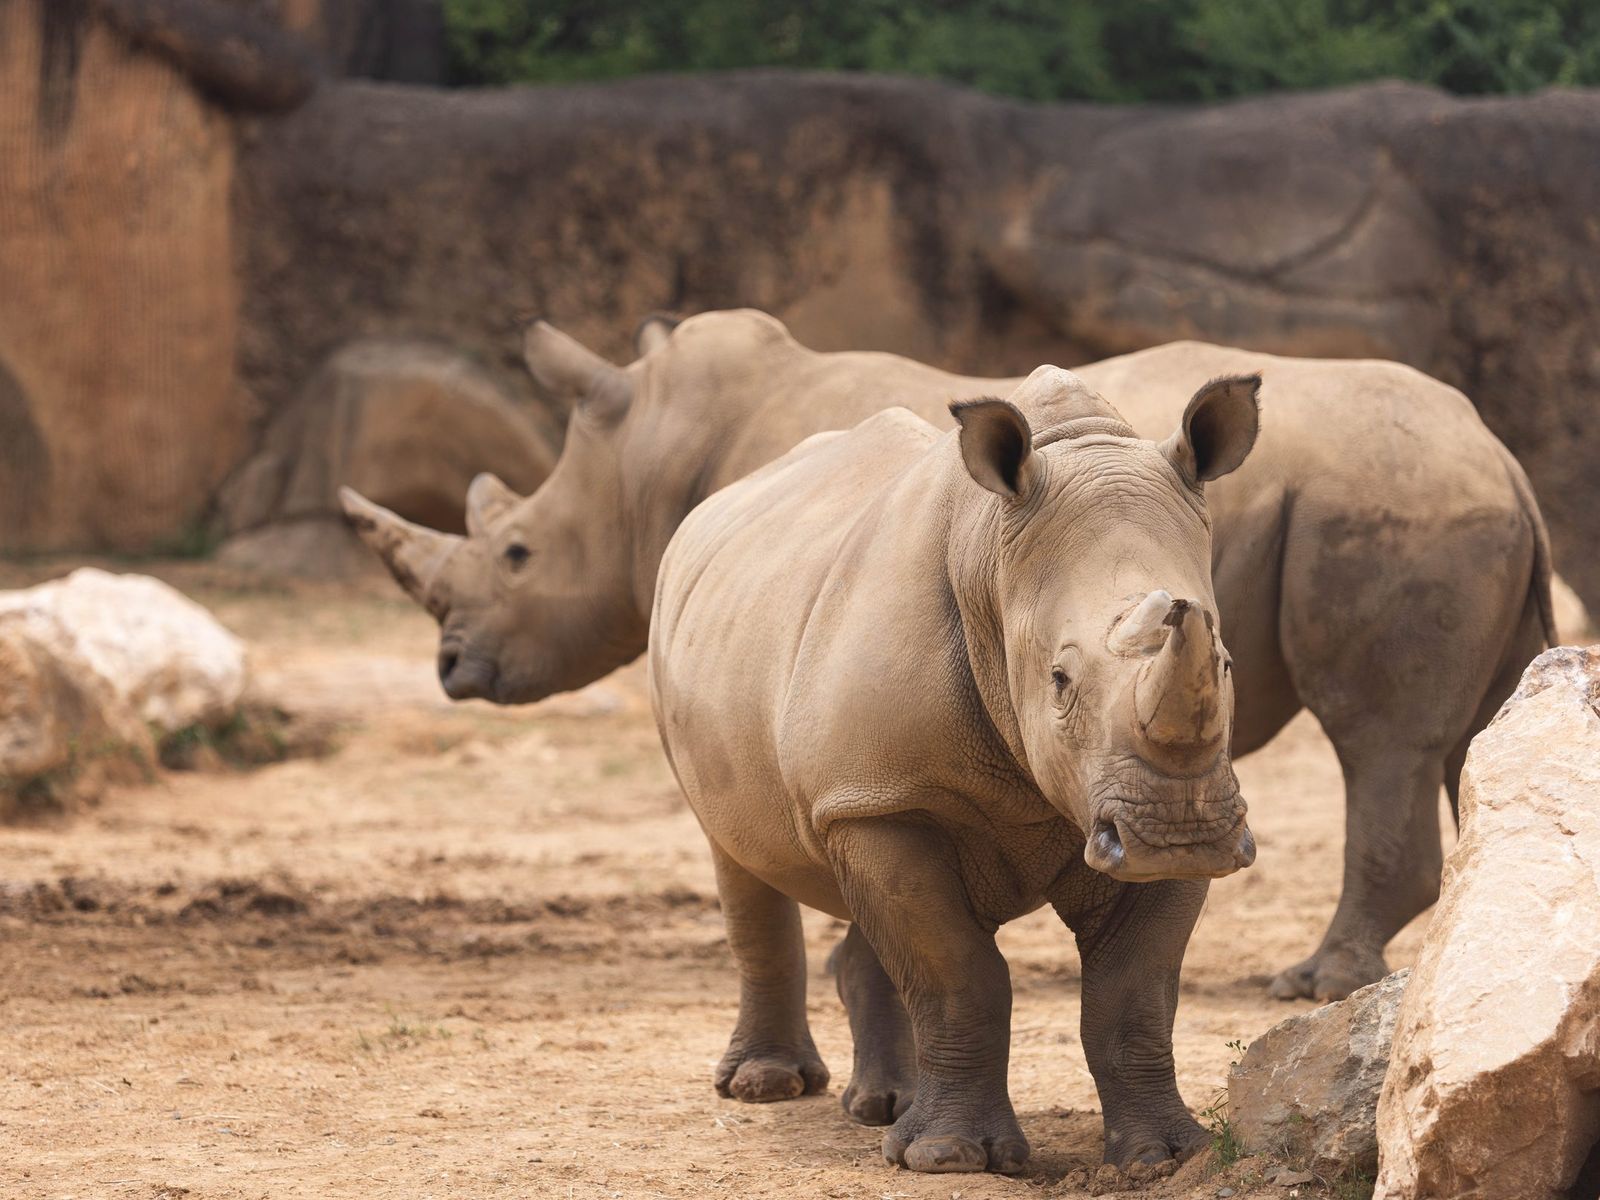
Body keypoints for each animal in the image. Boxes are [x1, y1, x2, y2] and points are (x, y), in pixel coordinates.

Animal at [343, 309, 1552, 1014]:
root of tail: (1501, 451)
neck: (649, 462)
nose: (451, 664)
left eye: (516, 553)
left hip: (1392, 501)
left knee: (1376, 739)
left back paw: (1304, 985)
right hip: (1438, 498)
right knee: (1473, 730)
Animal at [649, 366, 1261, 1173]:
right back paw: (769, 1088)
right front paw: (950, 1157)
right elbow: (957, 974)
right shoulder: (884, 799)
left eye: (1225, 663)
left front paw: (1166, 1156)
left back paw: (884, 1107)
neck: (990, 562)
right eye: (1060, 680)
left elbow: (1134, 993)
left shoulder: (1154, 800)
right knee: (738, 853)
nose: (1176, 834)